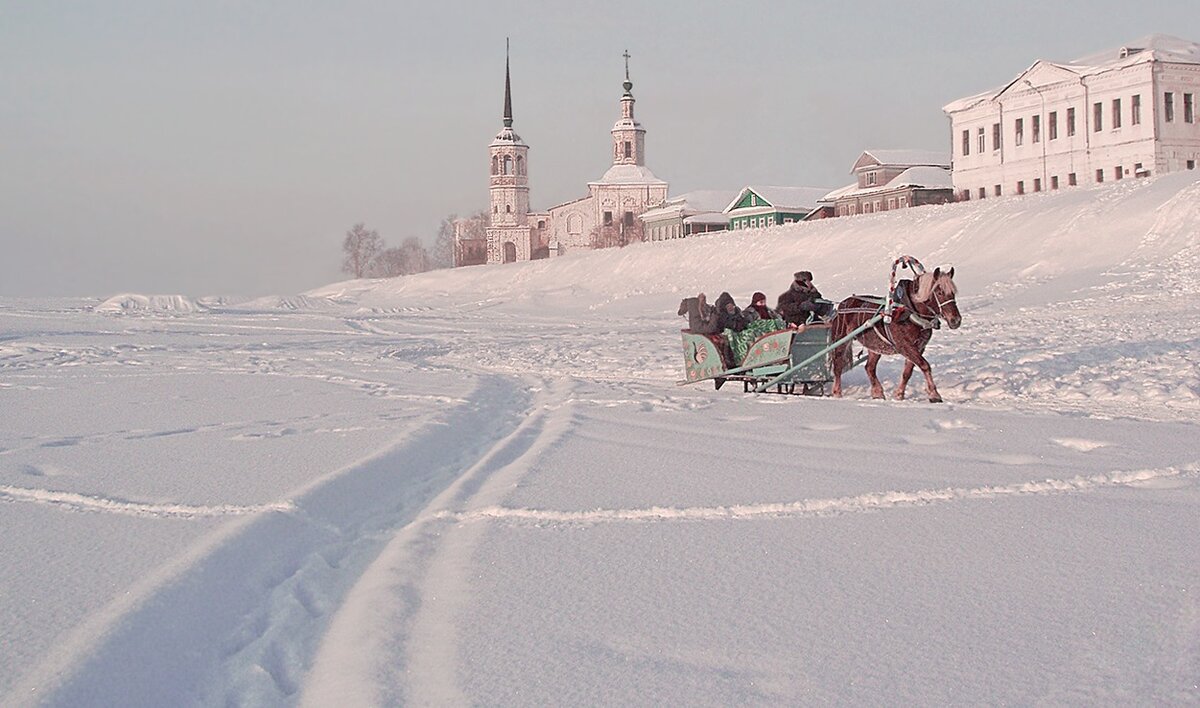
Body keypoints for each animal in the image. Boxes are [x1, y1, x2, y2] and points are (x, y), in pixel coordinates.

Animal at [830, 268, 960, 405]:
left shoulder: (918, 347)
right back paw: (837, 393)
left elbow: (907, 372)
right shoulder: (905, 346)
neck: (909, 313)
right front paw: (934, 394)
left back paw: (878, 393)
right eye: (939, 292)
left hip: (875, 345)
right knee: (838, 366)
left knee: (869, 368)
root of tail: (842, 304)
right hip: (841, 339)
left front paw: (899, 394)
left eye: (953, 293)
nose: (956, 320)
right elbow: (925, 365)